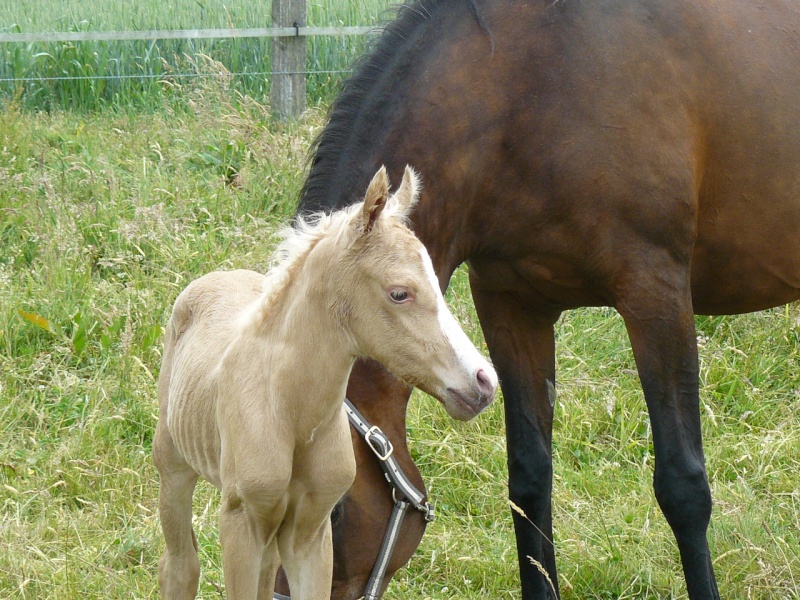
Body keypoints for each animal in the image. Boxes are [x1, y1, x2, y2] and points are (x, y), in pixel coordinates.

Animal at [153, 165, 496, 600]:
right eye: (399, 293)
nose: (483, 382)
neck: (290, 411)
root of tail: (219, 276)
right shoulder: (241, 522)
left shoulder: (310, 531)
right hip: (173, 465)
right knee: (180, 565)